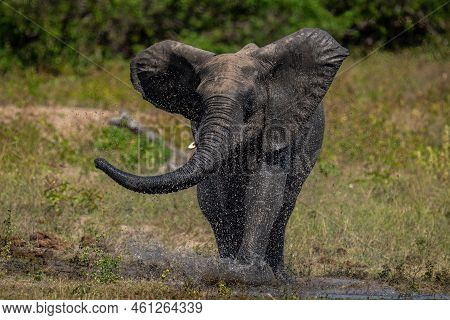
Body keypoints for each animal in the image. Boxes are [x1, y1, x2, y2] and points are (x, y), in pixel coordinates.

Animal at [95, 27, 348, 282]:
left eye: (249, 103)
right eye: (198, 101)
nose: (97, 161)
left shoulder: (280, 123)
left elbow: (264, 192)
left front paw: (248, 273)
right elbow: (213, 198)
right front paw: (227, 268)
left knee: (286, 204)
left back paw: (281, 277)